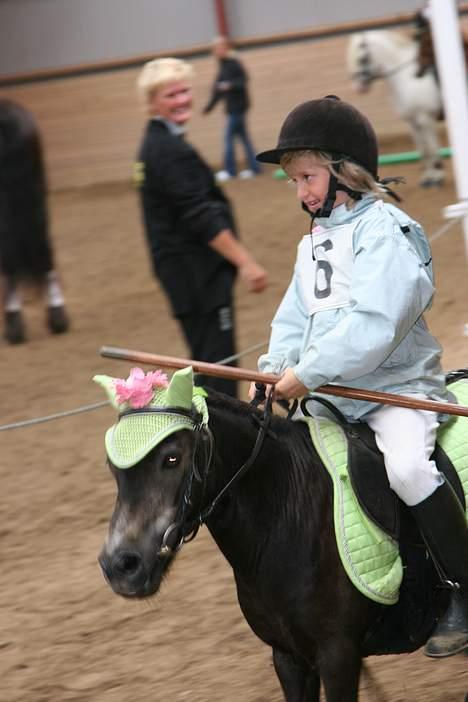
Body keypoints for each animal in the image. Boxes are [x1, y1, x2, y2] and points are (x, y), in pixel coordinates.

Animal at [348, 31, 442, 187]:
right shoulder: (412, 122)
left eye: (362, 59)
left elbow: (432, 148)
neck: (407, 78)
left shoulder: (425, 119)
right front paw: (428, 177)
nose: (358, 88)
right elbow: (423, 150)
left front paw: (437, 177)